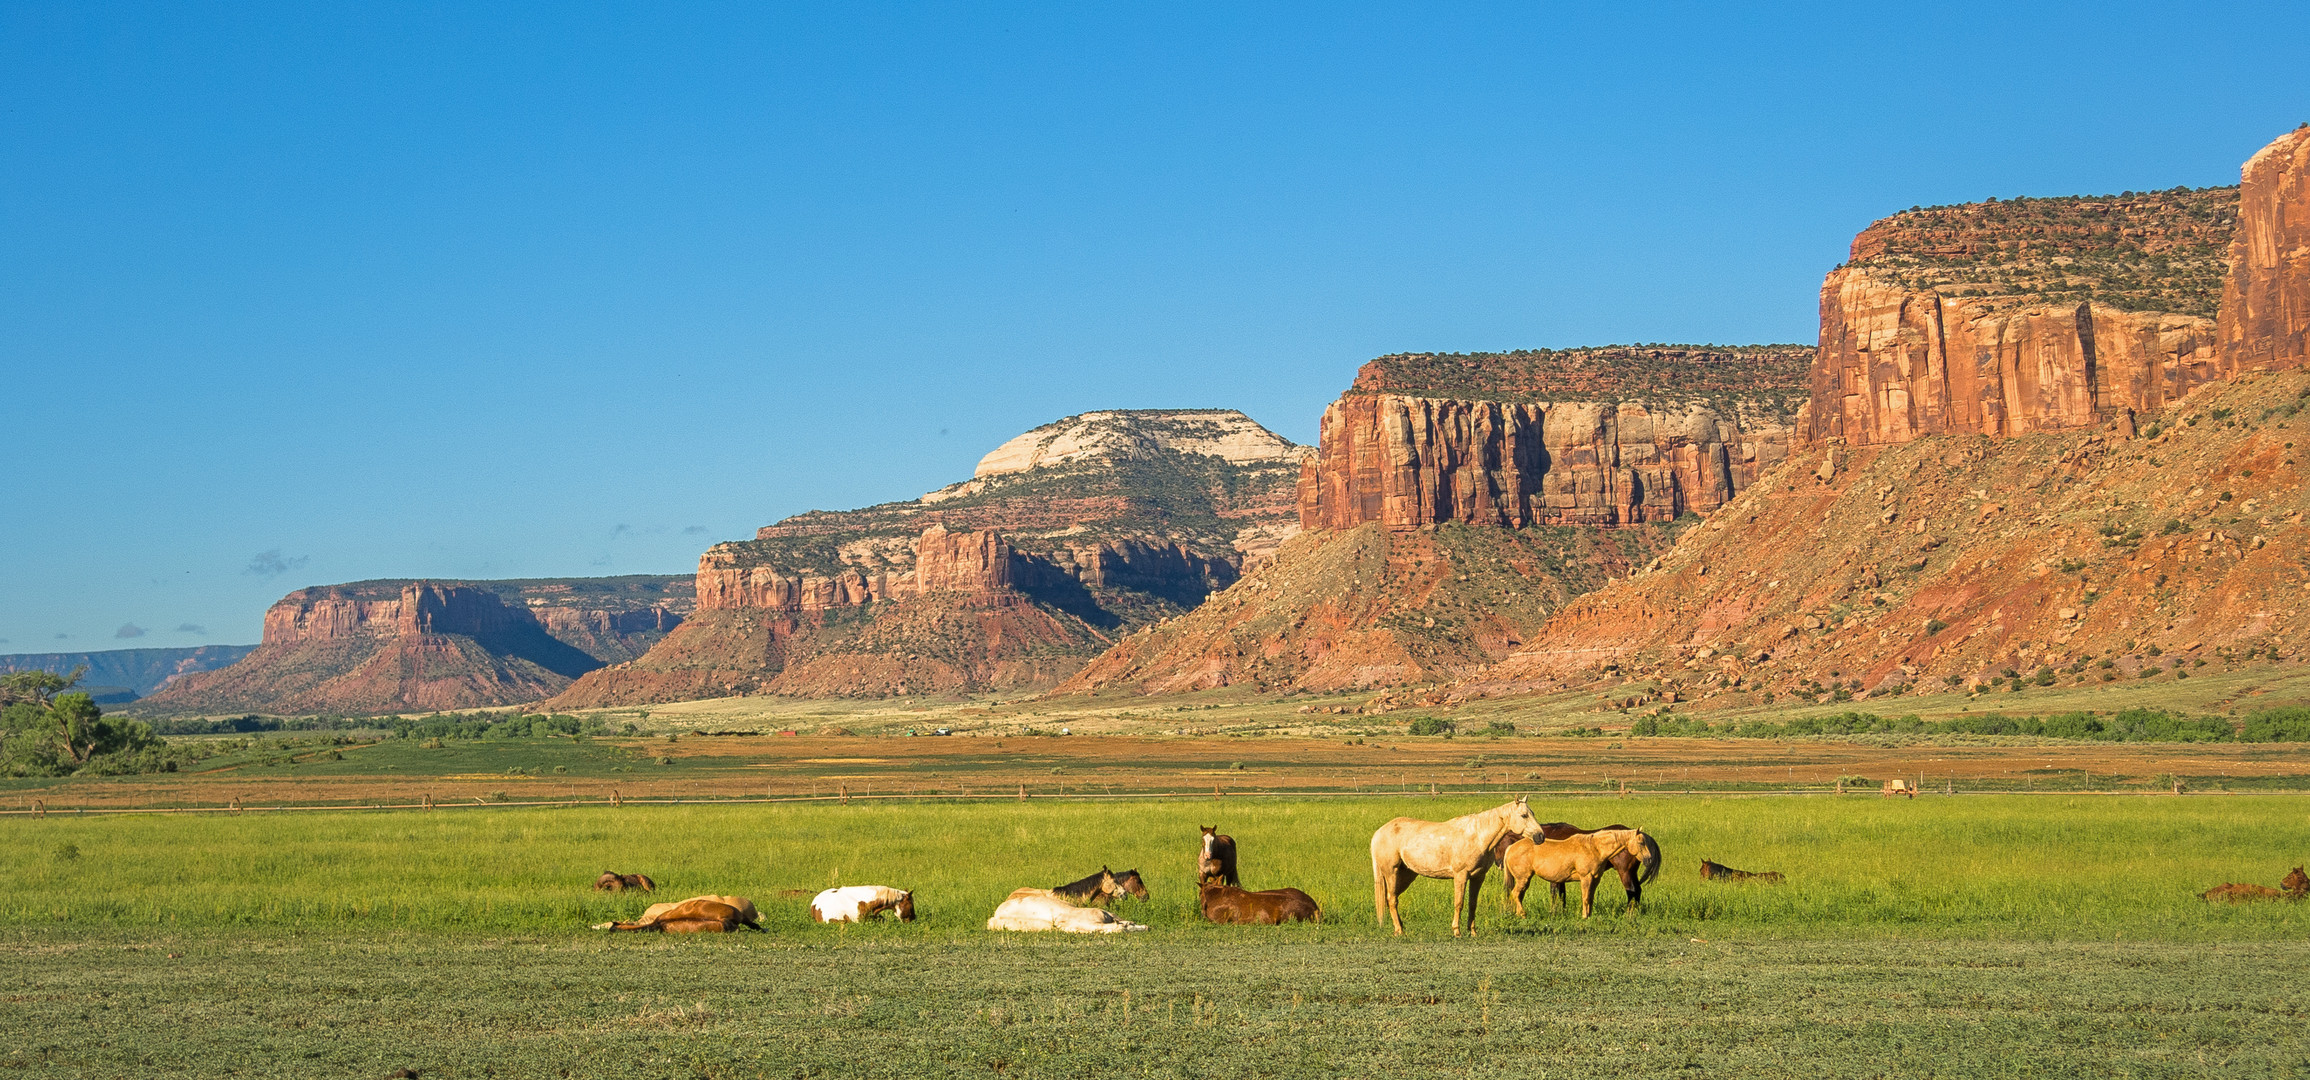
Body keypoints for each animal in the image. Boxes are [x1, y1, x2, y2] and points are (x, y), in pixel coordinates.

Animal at [1358, 793, 1543, 936]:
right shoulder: (1460, 875)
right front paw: (1457, 931)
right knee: (1391, 899)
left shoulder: (1478, 877)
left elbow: (1472, 904)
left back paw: (1400, 928)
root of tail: (1379, 832)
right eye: (1524, 815)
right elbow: (1459, 903)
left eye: (1533, 813)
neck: (1477, 836)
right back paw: (1400, 931)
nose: (1540, 836)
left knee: (1393, 898)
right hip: (1391, 872)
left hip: (1406, 875)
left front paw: (1473, 932)